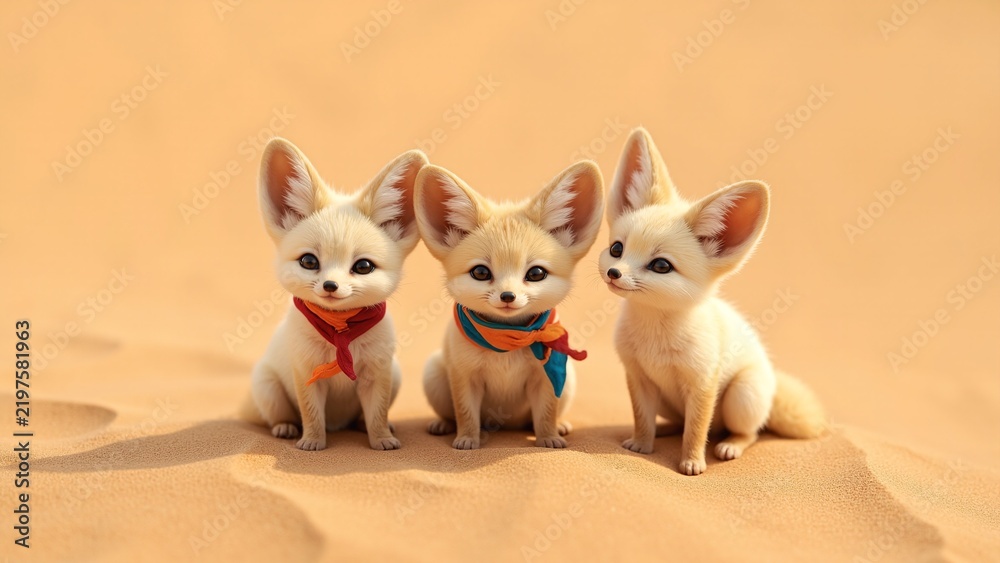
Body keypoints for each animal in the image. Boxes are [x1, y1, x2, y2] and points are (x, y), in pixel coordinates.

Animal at [246, 137, 426, 451]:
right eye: (309, 262)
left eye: (363, 266)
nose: (330, 285)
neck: (341, 331)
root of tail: (338, 423)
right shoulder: (306, 374)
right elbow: (311, 414)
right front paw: (312, 441)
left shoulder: (378, 375)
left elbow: (377, 415)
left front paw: (381, 438)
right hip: (267, 387)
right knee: (277, 417)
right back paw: (285, 427)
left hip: (396, 375)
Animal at [414, 161, 605, 449]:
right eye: (481, 273)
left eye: (536, 273)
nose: (507, 296)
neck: (509, 342)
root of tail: (507, 425)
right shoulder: (464, 377)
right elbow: (466, 413)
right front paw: (467, 439)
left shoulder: (545, 378)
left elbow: (546, 414)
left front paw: (548, 437)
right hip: (434, 374)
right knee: (450, 413)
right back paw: (444, 425)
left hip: (568, 380)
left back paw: (559, 426)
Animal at [598, 127, 826, 475]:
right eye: (616, 249)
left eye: (661, 265)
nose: (614, 273)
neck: (656, 336)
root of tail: (772, 386)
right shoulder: (638, 378)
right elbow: (642, 419)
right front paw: (642, 443)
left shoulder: (703, 383)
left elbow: (696, 429)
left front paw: (692, 462)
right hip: (670, 403)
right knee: (680, 422)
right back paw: (666, 430)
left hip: (740, 397)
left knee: (749, 432)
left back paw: (731, 444)